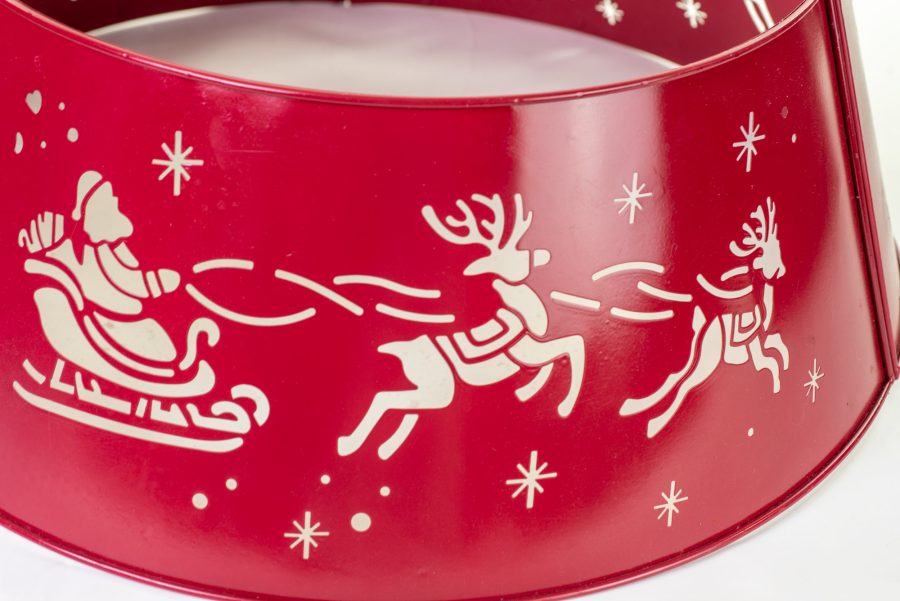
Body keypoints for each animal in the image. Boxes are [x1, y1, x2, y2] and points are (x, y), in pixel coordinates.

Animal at [337, 193, 585, 460]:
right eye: (513, 260)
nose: (544, 256)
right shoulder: (526, 350)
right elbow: (573, 345)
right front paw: (562, 404)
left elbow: (564, 351)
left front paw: (528, 391)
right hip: (440, 391)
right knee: (387, 399)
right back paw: (351, 444)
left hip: (430, 390)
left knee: (405, 409)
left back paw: (380, 448)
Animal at [618, 197, 789, 438]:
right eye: (767, 254)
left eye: (778, 247)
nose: (781, 270)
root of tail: (704, 327)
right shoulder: (755, 350)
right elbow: (772, 362)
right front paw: (776, 383)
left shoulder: (762, 341)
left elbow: (778, 346)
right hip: (707, 363)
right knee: (684, 385)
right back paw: (655, 423)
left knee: (676, 378)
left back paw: (640, 410)